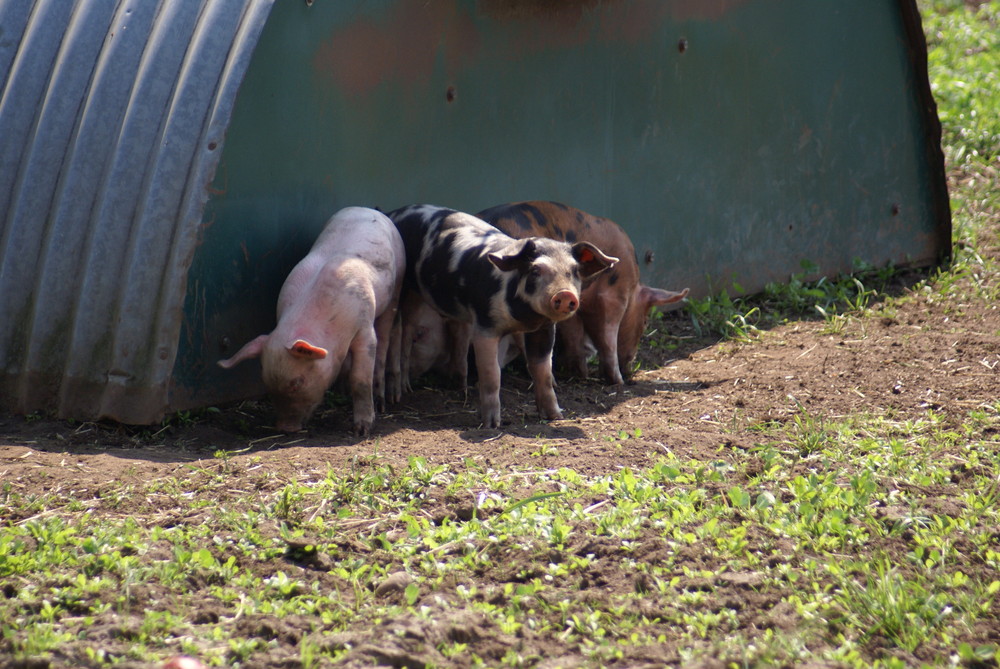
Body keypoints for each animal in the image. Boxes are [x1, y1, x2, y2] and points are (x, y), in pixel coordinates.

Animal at [221, 206, 404, 436]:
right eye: (267, 382)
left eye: (297, 383)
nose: (285, 428)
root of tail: (368, 208)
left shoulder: (363, 327)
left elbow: (361, 379)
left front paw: (361, 430)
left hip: (397, 284)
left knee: (385, 337)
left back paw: (381, 402)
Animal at [384, 204, 612, 428]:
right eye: (536, 270)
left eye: (574, 271)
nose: (564, 294)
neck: (523, 317)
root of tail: (394, 212)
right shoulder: (485, 326)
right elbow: (492, 374)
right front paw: (492, 425)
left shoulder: (544, 328)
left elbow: (543, 372)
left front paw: (555, 417)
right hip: (402, 288)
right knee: (399, 332)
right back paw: (399, 394)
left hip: (420, 296)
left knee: (422, 328)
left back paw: (455, 387)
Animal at [476, 201, 688, 384]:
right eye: (644, 323)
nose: (629, 369)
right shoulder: (613, 295)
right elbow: (607, 336)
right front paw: (617, 381)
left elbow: (574, 330)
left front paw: (579, 373)